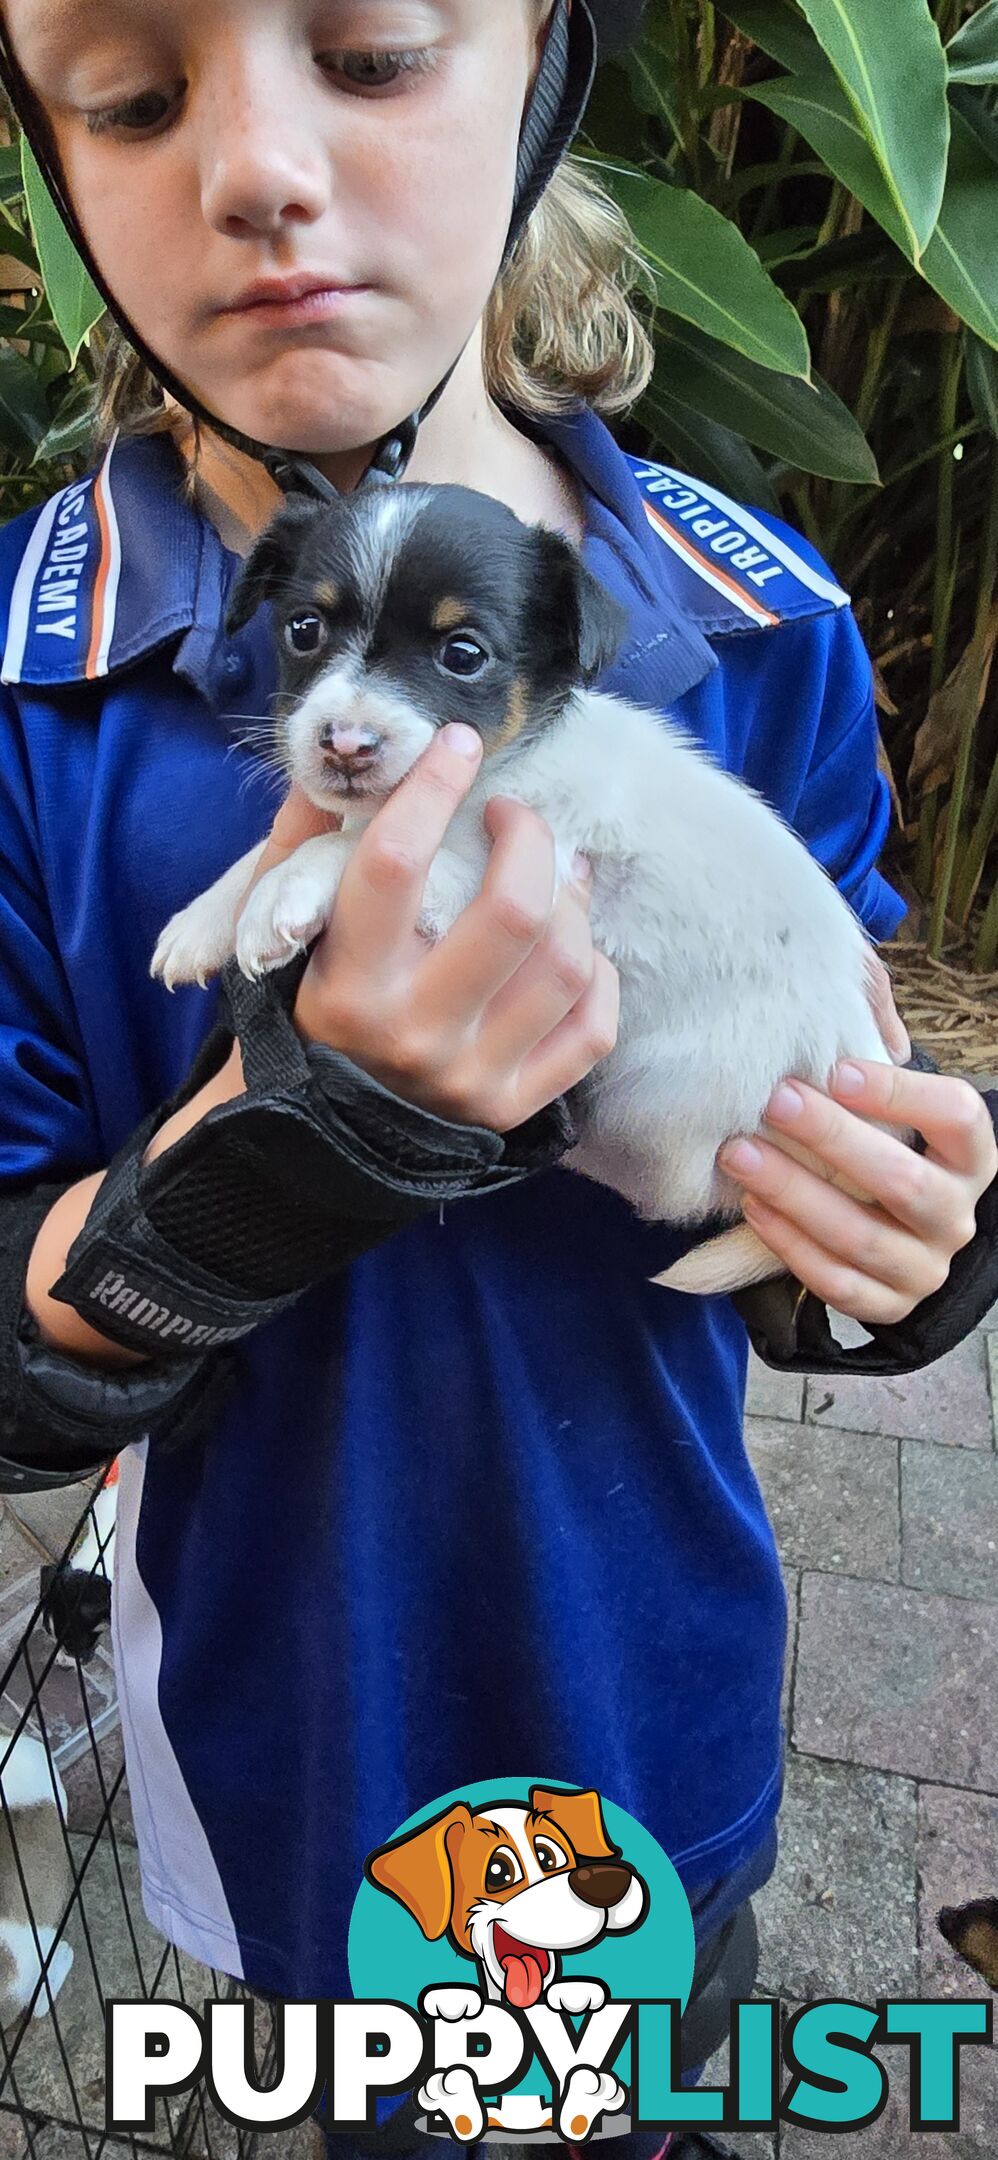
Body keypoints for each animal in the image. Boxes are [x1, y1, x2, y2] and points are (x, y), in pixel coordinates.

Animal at [152, 486, 907, 1296]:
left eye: (463, 654)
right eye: (304, 629)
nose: (345, 744)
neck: (496, 767)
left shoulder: (517, 873)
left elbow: (343, 849)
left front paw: (282, 894)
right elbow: (277, 848)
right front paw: (201, 922)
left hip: (665, 1093)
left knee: (675, 1189)